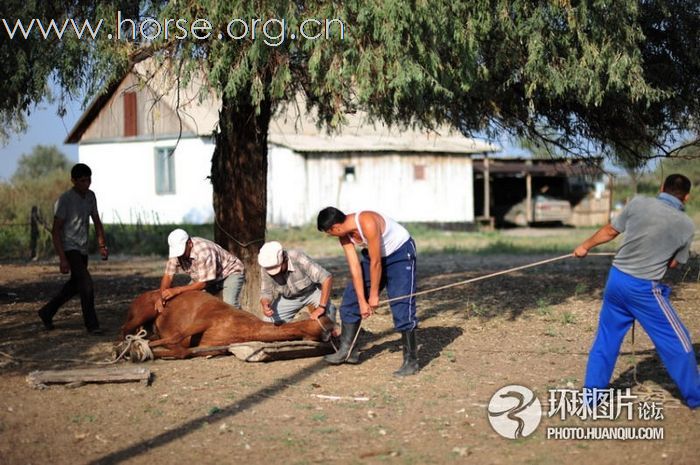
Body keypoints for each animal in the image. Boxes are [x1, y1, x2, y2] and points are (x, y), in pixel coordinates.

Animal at [118, 290, 334, 358]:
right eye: (324, 323)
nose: (335, 333)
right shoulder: (202, 320)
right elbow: (177, 338)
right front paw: (135, 348)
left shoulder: (207, 348)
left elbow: (182, 351)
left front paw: (142, 350)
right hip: (144, 311)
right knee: (125, 328)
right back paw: (120, 346)